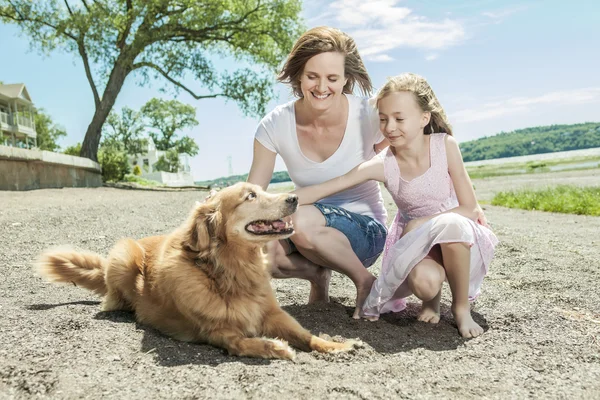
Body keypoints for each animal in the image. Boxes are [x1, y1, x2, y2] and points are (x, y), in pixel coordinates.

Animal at [34, 183, 360, 360]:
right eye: (250, 196)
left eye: (261, 190)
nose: (294, 198)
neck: (231, 272)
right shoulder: (215, 332)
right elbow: (243, 343)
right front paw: (275, 347)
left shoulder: (272, 313)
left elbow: (305, 334)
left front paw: (336, 345)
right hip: (123, 254)